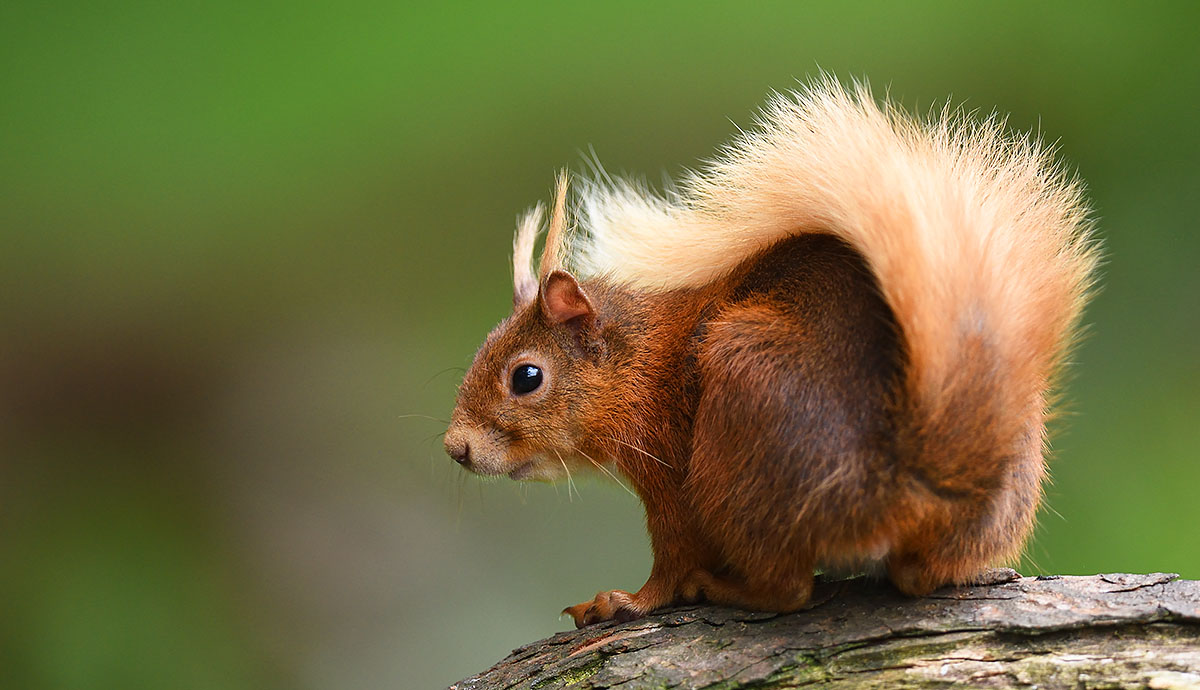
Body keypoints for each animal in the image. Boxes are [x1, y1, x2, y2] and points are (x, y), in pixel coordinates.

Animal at [443, 78, 1099, 628]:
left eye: (527, 376)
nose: (456, 449)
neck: (640, 360)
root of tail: (894, 487)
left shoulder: (668, 473)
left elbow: (669, 562)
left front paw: (626, 601)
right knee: (915, 577)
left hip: (735, 439)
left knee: (788, 591)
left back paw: (724, 588)